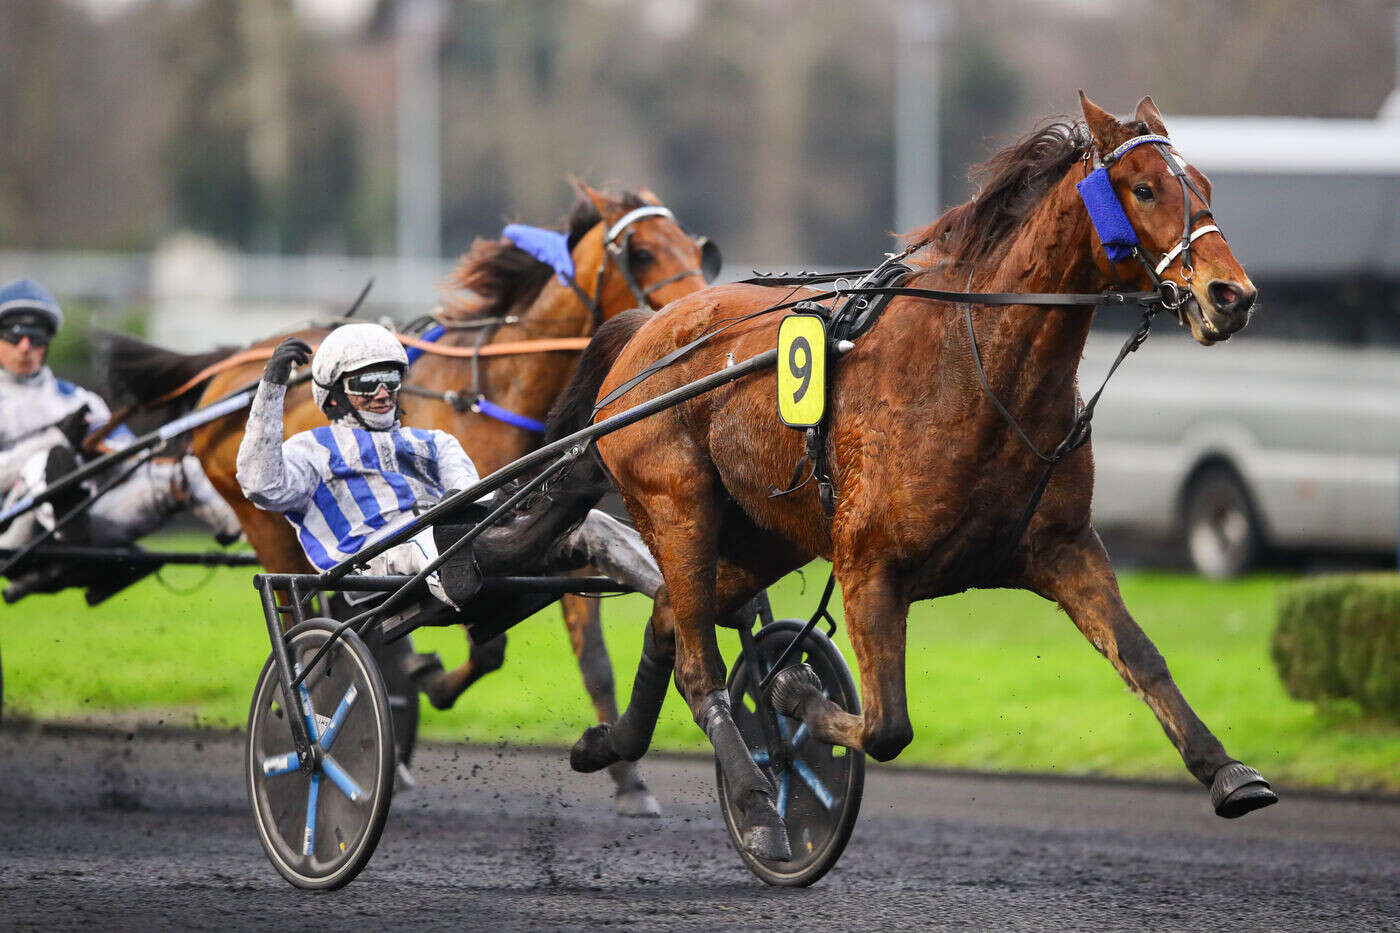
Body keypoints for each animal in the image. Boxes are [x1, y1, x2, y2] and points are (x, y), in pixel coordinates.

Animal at [112, 182, 711, 812]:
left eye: (697, 247)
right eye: (641, 252)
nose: (693, 315)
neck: (496, 390)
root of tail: (229, 370)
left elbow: (592, 657)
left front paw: (630, 781)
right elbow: (482, 647)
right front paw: (430, 681)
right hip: (270, 532)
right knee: (310, 621)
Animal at [520, 91, 1276, 851]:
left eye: (1203, 186)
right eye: (1143, 188)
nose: (1231, 294)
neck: (976, 365)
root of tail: (642, 331)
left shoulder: (1063, 545)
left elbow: (1142, 657)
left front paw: (1227, 770)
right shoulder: (868, 565)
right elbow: (886, 727)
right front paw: (792, 691)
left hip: (762, 535)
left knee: (668, 619)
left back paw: (608, 742)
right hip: (679, 509)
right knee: (699, 664)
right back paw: (757, 804)